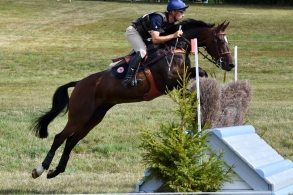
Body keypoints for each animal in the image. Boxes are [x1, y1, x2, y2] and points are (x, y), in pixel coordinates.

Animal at [30, 19, 234, 179]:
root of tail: (79, 83)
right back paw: (40, 169)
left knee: (71, 141)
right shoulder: (169, 80)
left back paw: (56, 171)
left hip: (95, 117)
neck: (173, 46)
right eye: (220, 40)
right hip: (79, 115)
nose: (230, 64)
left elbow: (200, 72)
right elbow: (198, 72)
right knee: (60, 137)